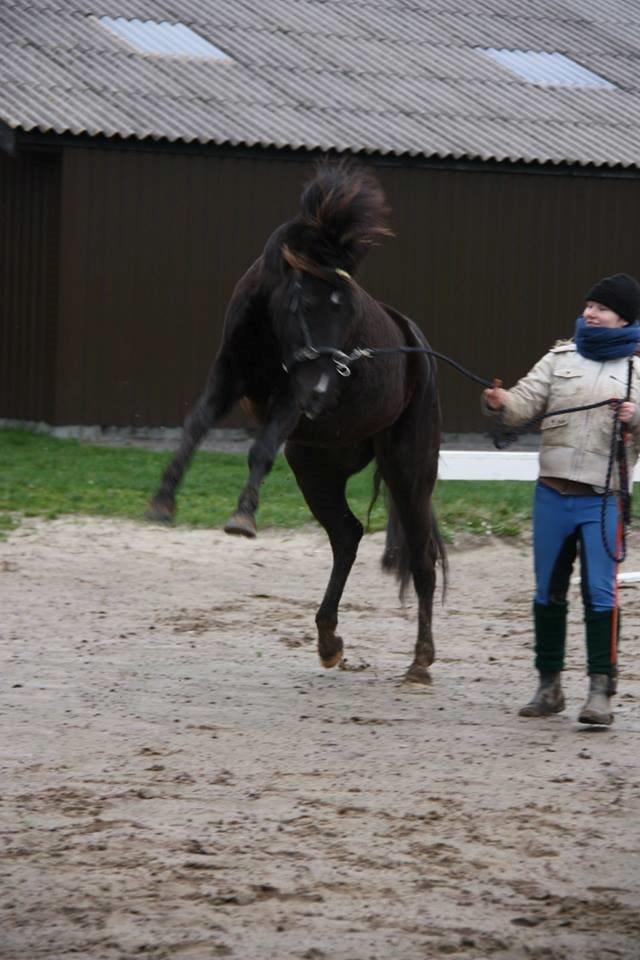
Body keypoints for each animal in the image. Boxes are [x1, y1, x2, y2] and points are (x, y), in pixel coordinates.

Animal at [147, 161, 444, 684]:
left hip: (408, 469)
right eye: (304, 304)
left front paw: (242, 516)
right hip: (316, 465)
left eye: (348, 308)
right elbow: (194, 428)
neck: (270, 329)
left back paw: (420, 661)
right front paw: (163, 501)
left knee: (421, 555)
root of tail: (417, 347)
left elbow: (260, 448)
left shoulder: (292, 395)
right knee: (346, 535)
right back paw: (329, 641)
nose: (325, 392)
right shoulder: (227, 375)